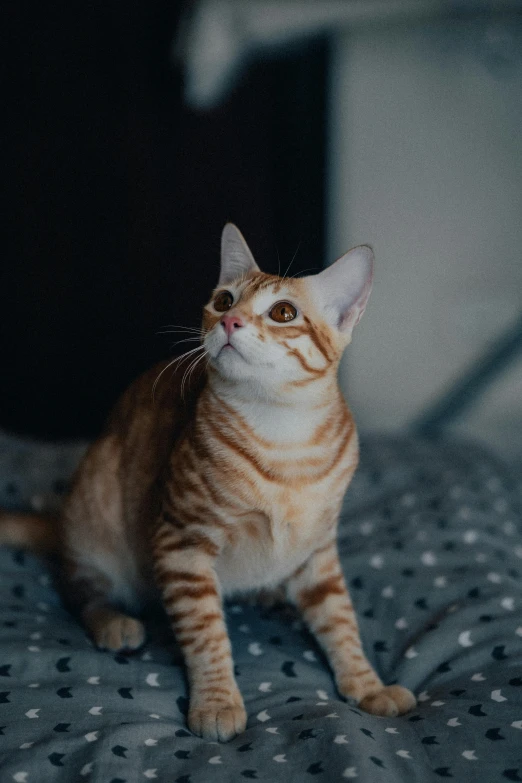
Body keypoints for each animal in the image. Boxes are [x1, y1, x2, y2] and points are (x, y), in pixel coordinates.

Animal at [0, 225, 414, 740]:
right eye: (223, 299)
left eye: (283, 312)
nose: (231, 321)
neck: (283, 438)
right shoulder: (182, 542)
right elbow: (205, 633)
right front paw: (217, 699)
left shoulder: (317, 550)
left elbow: (341, 620)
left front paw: (366, 683)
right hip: (97, 507)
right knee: (79, 588)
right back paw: (114, 621)